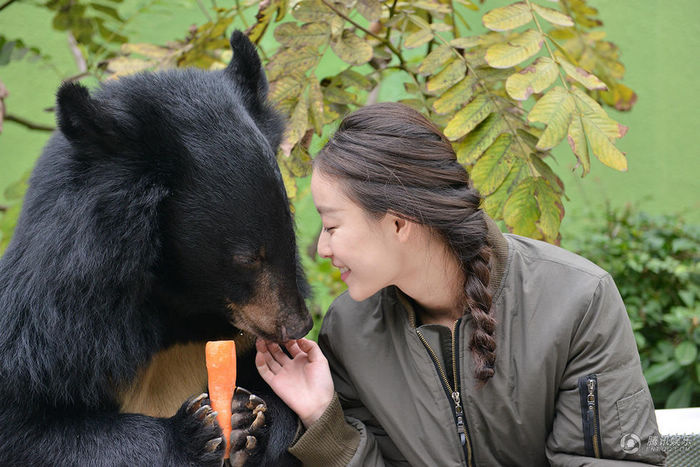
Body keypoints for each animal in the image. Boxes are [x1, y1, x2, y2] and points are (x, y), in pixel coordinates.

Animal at [0, 31, 312, 466]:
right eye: (247, 259)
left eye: (289, 239)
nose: (298, 326)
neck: (178, 311)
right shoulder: (54, 332)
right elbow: (30, 428)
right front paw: (196, 431)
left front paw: (246, 419)